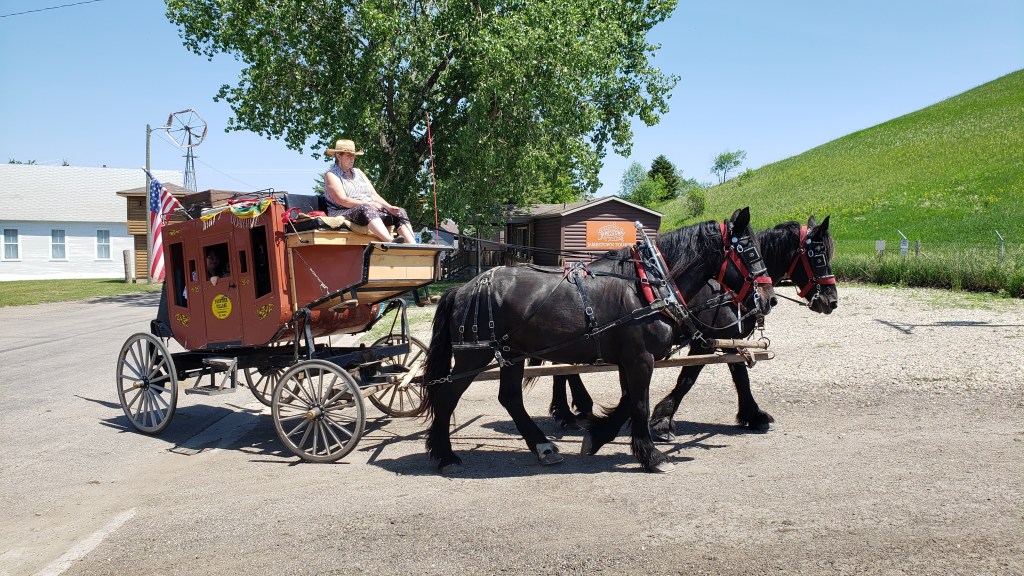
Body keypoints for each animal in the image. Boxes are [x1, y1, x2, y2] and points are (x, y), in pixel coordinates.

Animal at [418, 207, 777, 473]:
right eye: (747, 250)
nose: (769, 298)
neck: (647, 286)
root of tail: (463, 289)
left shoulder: (629, 360)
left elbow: (629, 402)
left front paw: (600, 437)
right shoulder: (640, 359)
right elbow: (640, 403)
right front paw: (652, 455)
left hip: (511, 353)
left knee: (510, 398)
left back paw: (543, 446)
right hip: (474, 355)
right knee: (447, 395)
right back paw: (445, 454)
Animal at [544, 215, 837, 439]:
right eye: (817, 255)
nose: (831, 300)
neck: (725, 291)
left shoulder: (727, 341)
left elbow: (740, 376)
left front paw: (753, 414)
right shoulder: (704, 340)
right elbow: (687, 379)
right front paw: (662, 419)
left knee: (562, 367)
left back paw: (567, 411)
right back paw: (575, 409)